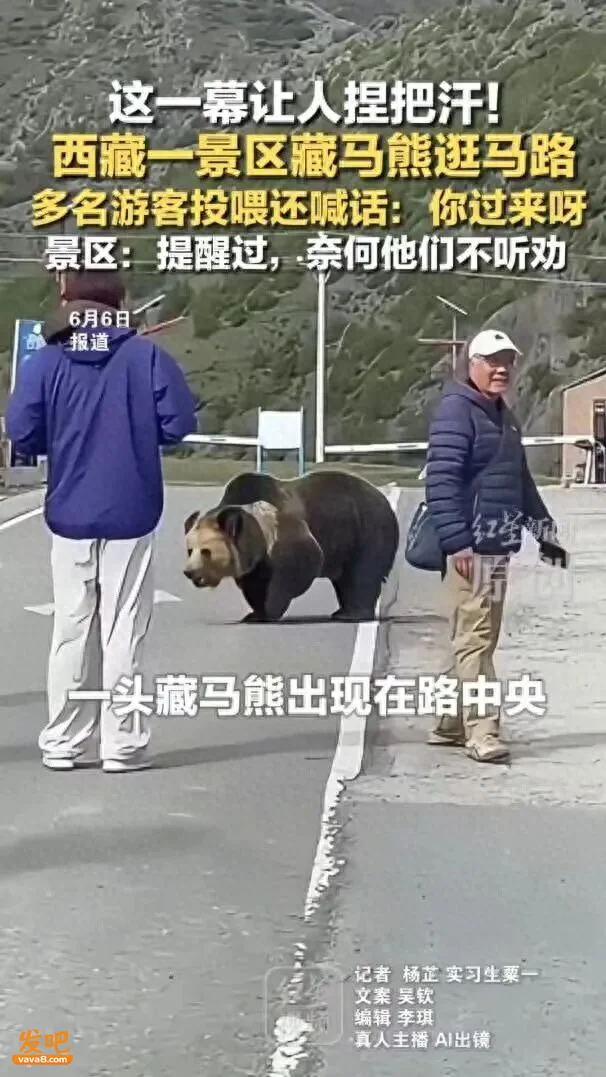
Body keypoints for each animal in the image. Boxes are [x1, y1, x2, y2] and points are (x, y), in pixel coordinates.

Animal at [183, 469, 399, 623]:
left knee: (361, 573)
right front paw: (255, 613)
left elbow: (301, 562)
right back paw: (342, 610)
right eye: (189, 550)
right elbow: (255, 582)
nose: (189, 572)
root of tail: (381, 496)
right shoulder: (255, 556)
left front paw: (270, 610)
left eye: (206, 551)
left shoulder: (281, 530)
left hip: (367, 529)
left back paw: (351, 613)